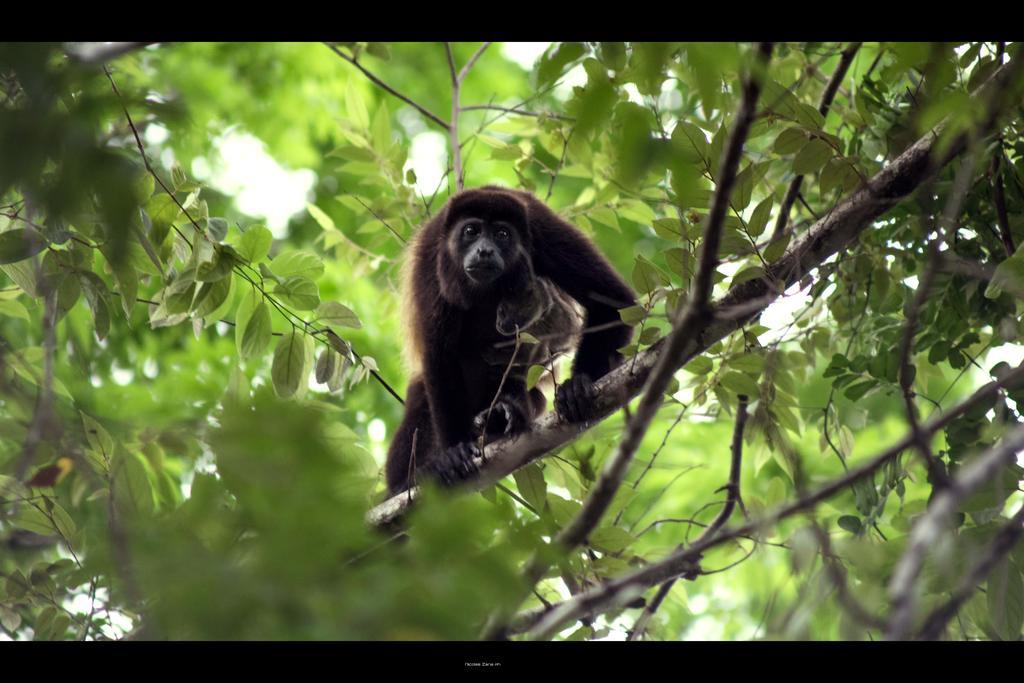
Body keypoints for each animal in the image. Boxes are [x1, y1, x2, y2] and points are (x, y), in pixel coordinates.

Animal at [385, 187, 630, 497]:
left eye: (502, 234)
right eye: (471, 231)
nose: (485, 250)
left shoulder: (543, 229)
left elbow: (612, 302)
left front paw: (577, 386)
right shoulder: (431, 255)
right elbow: (439, 354)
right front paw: (453, 452)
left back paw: (504, 414)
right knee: (421, 402)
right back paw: (404, 483)